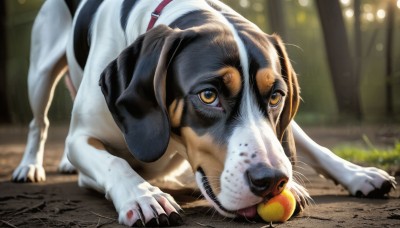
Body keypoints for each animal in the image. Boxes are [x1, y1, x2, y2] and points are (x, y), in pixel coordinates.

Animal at [11, 0, 394, 225]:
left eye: (275, 96)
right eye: (208, 96)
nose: (272, 181)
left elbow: (310, 145)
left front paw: (358, 174)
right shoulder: (80, 138)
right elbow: (113, 162)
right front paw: (143, 195)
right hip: (39, 74)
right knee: (38, 122)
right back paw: (29, 166)